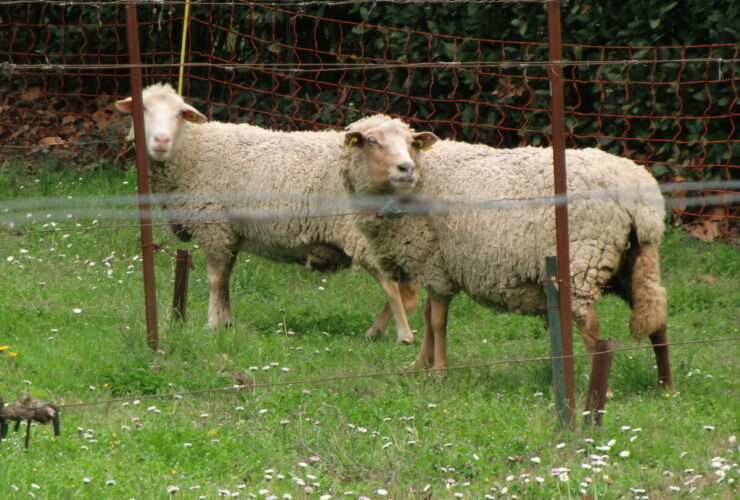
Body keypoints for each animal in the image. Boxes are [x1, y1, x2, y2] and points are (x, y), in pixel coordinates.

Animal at [112, 84, 420, 342]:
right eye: (143, 109)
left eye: (179, 114)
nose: (161, 140)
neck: (193, 150)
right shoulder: (230, 232)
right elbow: (225, 280)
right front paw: (227, 323)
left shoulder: (214, 228)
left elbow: (214, 281)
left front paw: (212, 326)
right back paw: (378, 332)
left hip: (365, 235)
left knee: (395, 288)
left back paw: (400, 336)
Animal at [342, 115, 676, 388]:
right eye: (371, 141)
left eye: (411, 144)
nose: (406, 168)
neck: (424, 177)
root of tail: (639, 195)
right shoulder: (436, 263)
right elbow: (427, 317)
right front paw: (419, 365)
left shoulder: (433, 261)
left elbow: (437, 320)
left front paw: (438, 372)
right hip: (633, 259)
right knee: (656, 315)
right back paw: (665, 385)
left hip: (583, 258)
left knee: (591, 327)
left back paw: (602, 391)